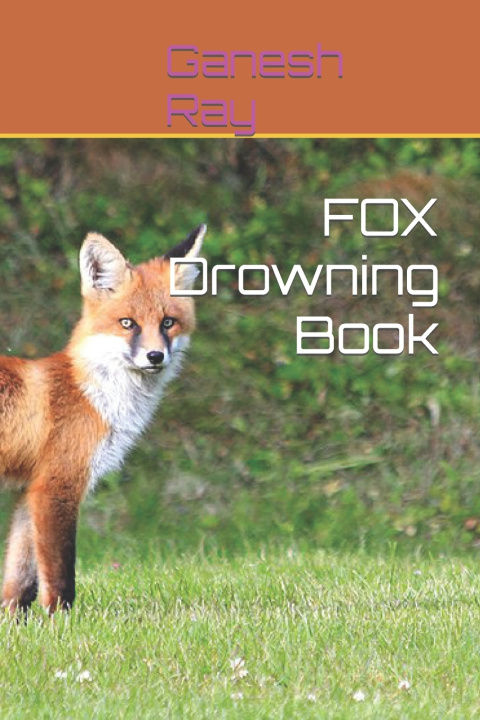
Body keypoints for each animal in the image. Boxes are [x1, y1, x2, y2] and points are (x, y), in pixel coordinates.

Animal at [0, 224, 206, 614]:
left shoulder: (28, 491)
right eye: (128, 324)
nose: (155, 356)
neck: (93, 395)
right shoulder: (56, 486)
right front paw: (61, 621)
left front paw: (14, 621)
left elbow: (18, 582)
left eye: (168, 323)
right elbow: (59, 577)